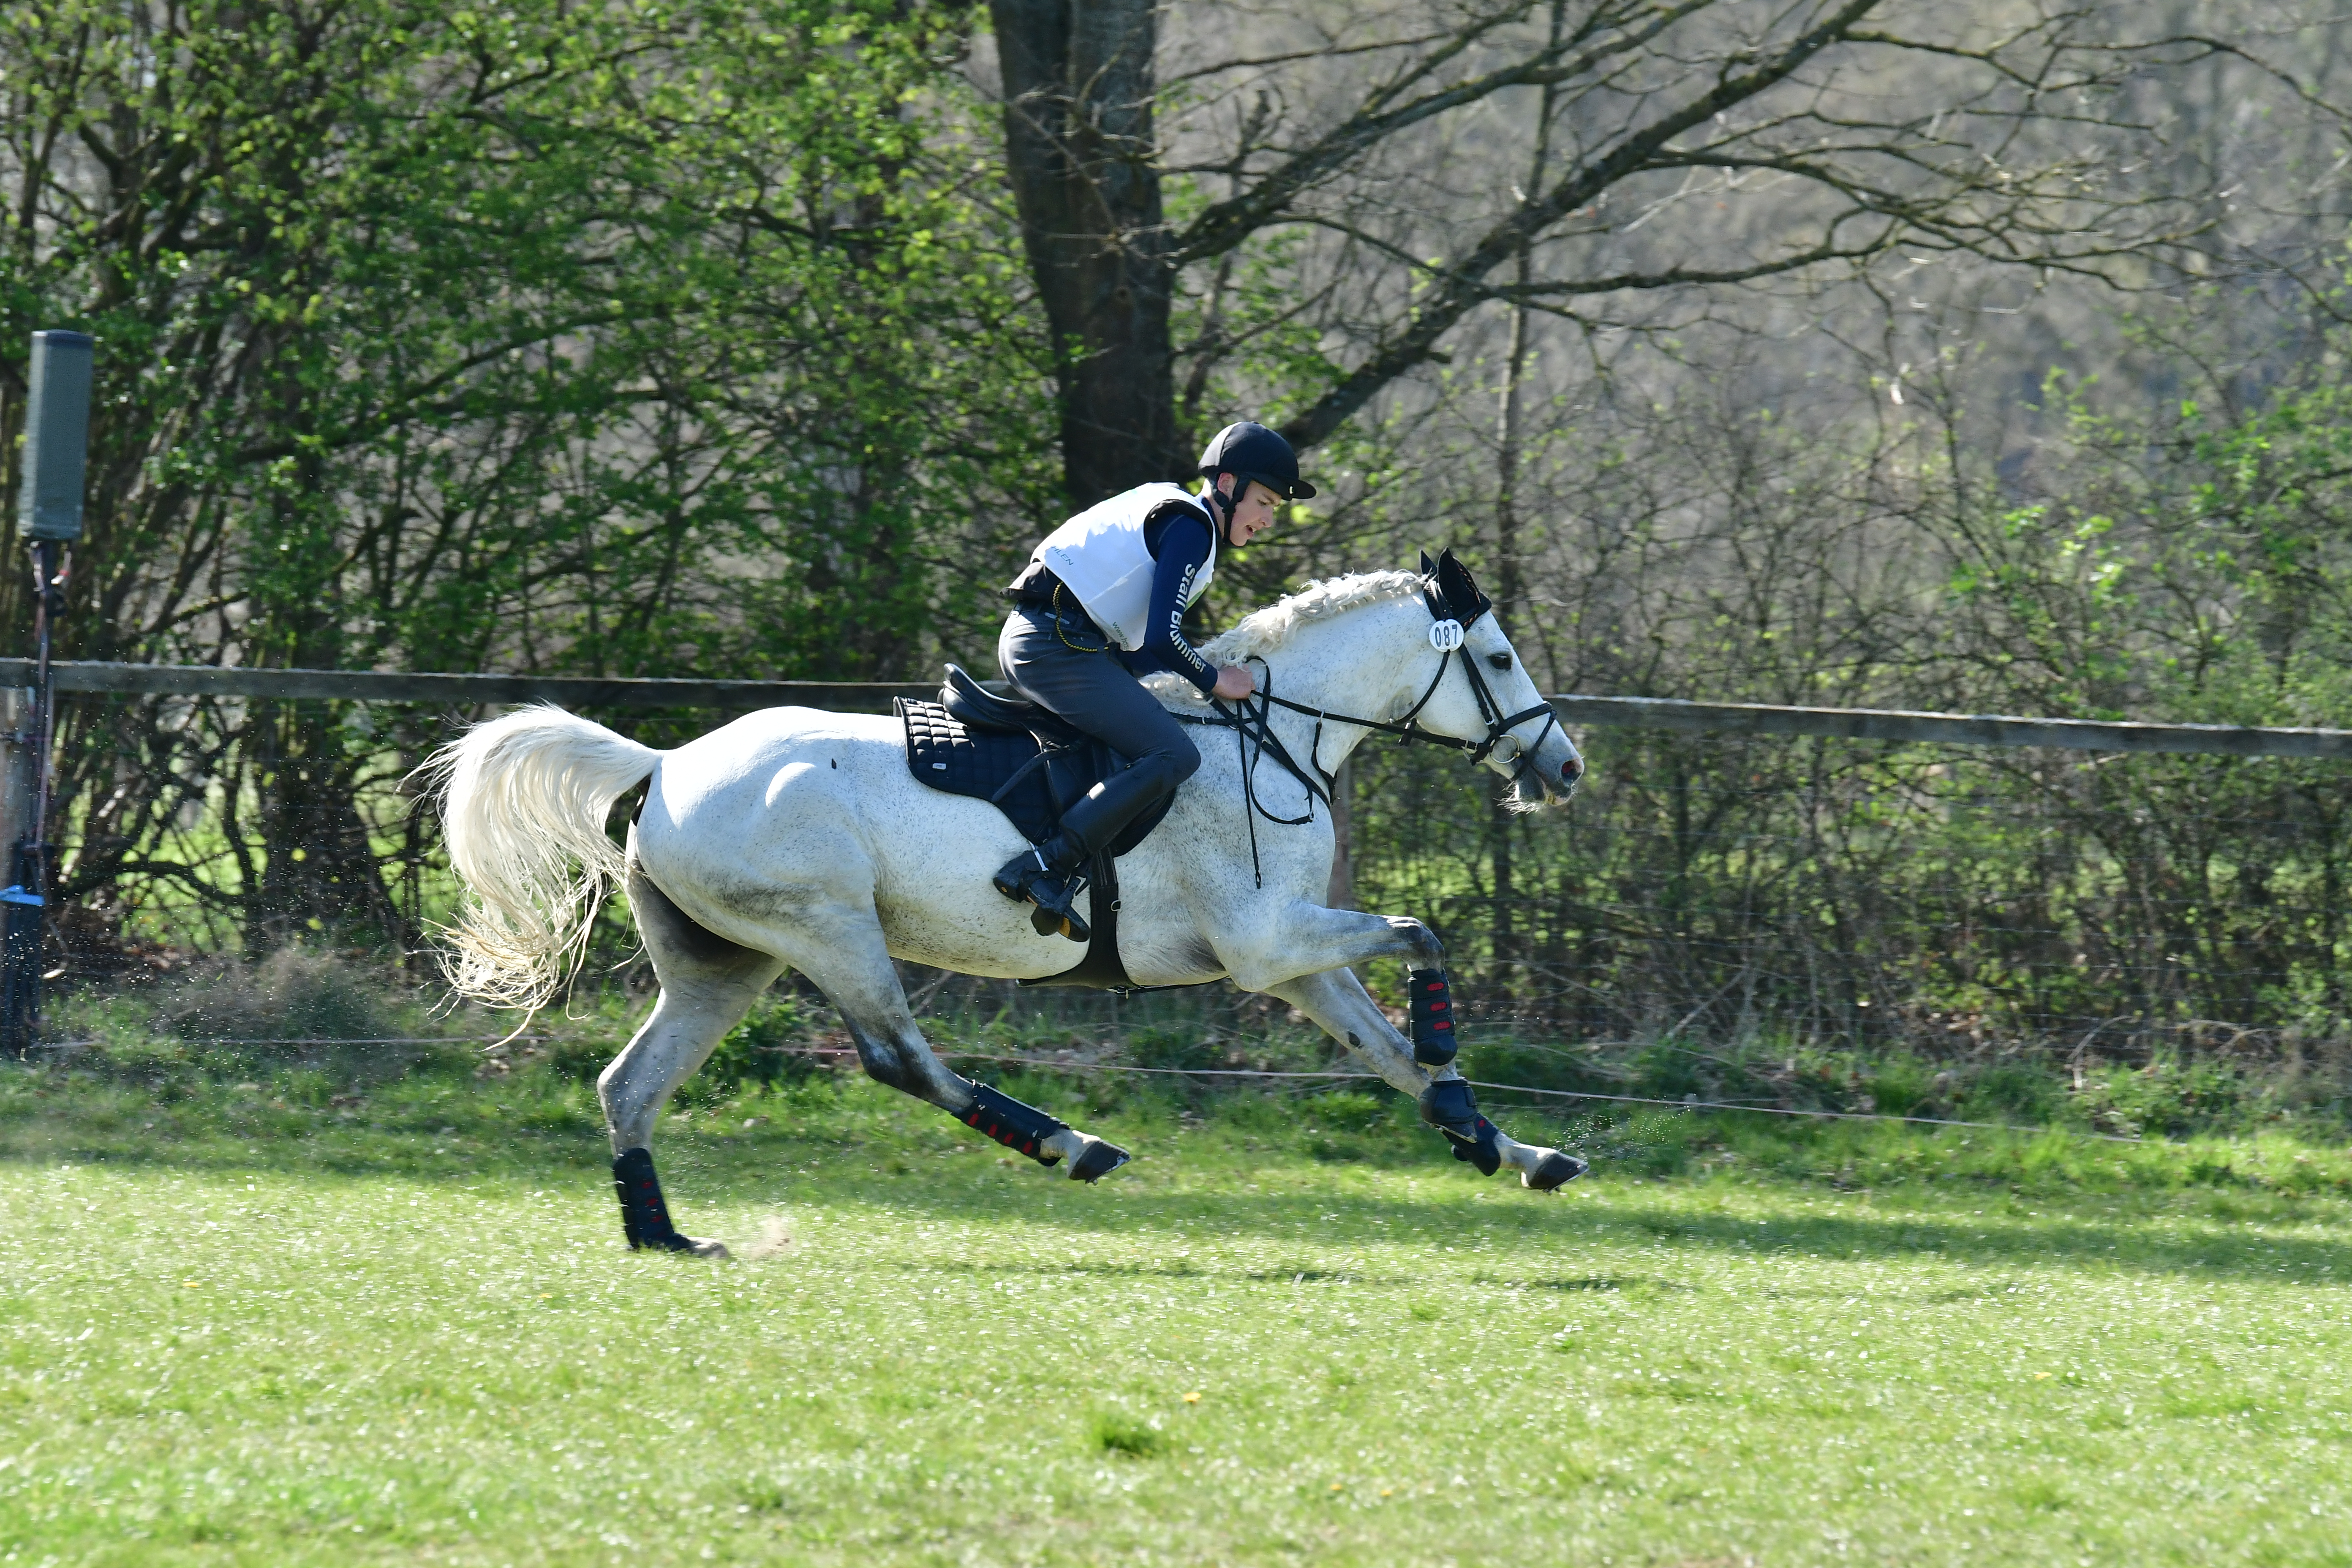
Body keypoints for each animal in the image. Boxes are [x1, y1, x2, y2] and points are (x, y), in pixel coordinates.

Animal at [433, 557, 1590, 1260]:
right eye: (1497, 658)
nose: (1565, 768)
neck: (1268, 733)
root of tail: (664, 764)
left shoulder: (1294, 958)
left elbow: (1389, 1052)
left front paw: (1499, 1144)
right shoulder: (1266, 947)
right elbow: (1422, 938)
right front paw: (1463, 1097)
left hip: (723, 964)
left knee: (630, 1087)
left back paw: (664, 1237)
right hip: (830, 929)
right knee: (899, 1059)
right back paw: (1068, 1145)